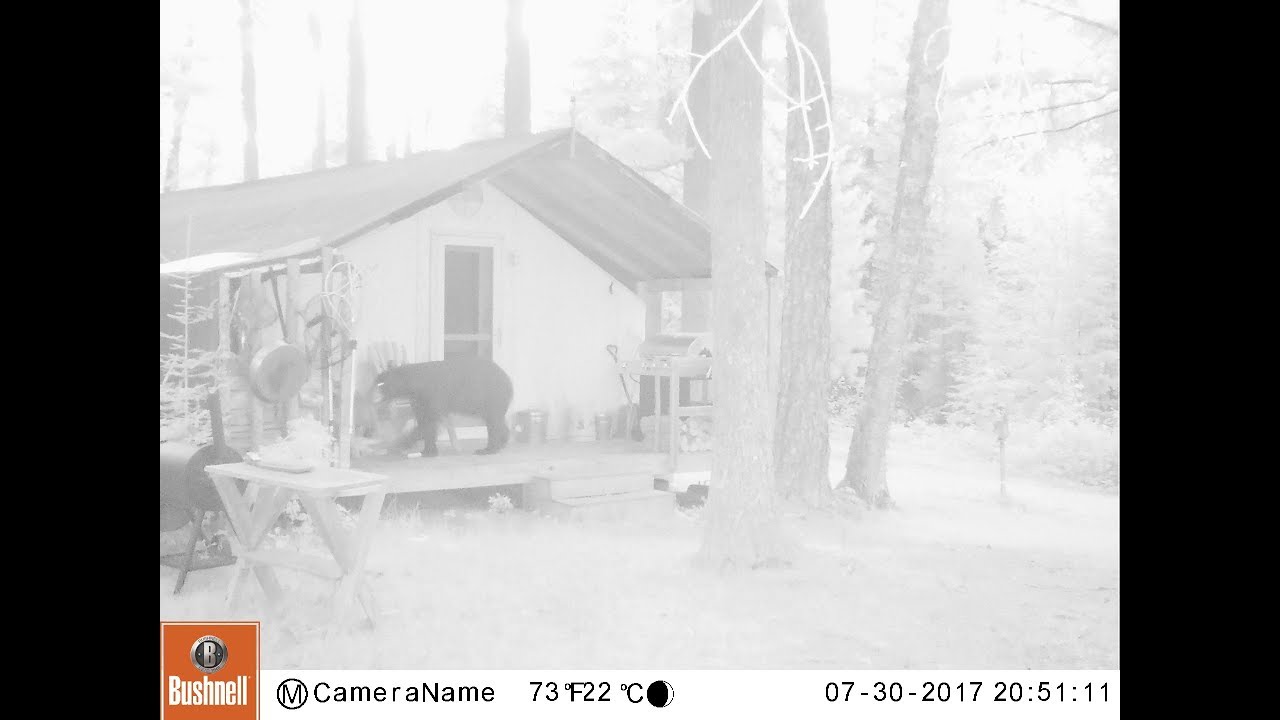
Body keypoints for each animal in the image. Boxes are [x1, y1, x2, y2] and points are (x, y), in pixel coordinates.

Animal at [372, 357, 514, 457]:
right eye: (376, 382)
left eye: (381, 384)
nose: (372, 396)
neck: (416, 384)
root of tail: (508, 379)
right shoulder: (418, 401)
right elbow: (423, 420)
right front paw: (427, 451)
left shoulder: (432, 395)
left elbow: (429, 421)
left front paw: (403, 443)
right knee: (497, 421)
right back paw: (503, 441)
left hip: (492, 396)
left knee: (493, 422)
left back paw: (487, 449)